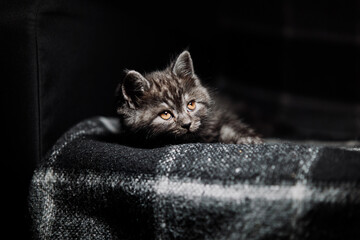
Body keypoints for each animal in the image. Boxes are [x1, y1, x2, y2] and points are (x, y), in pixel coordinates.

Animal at [115, 50, 262, 146]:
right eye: (165, 114)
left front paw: (249, 139)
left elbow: (231, 126)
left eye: (191, 105)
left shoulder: (221, 114)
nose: (187, 124)